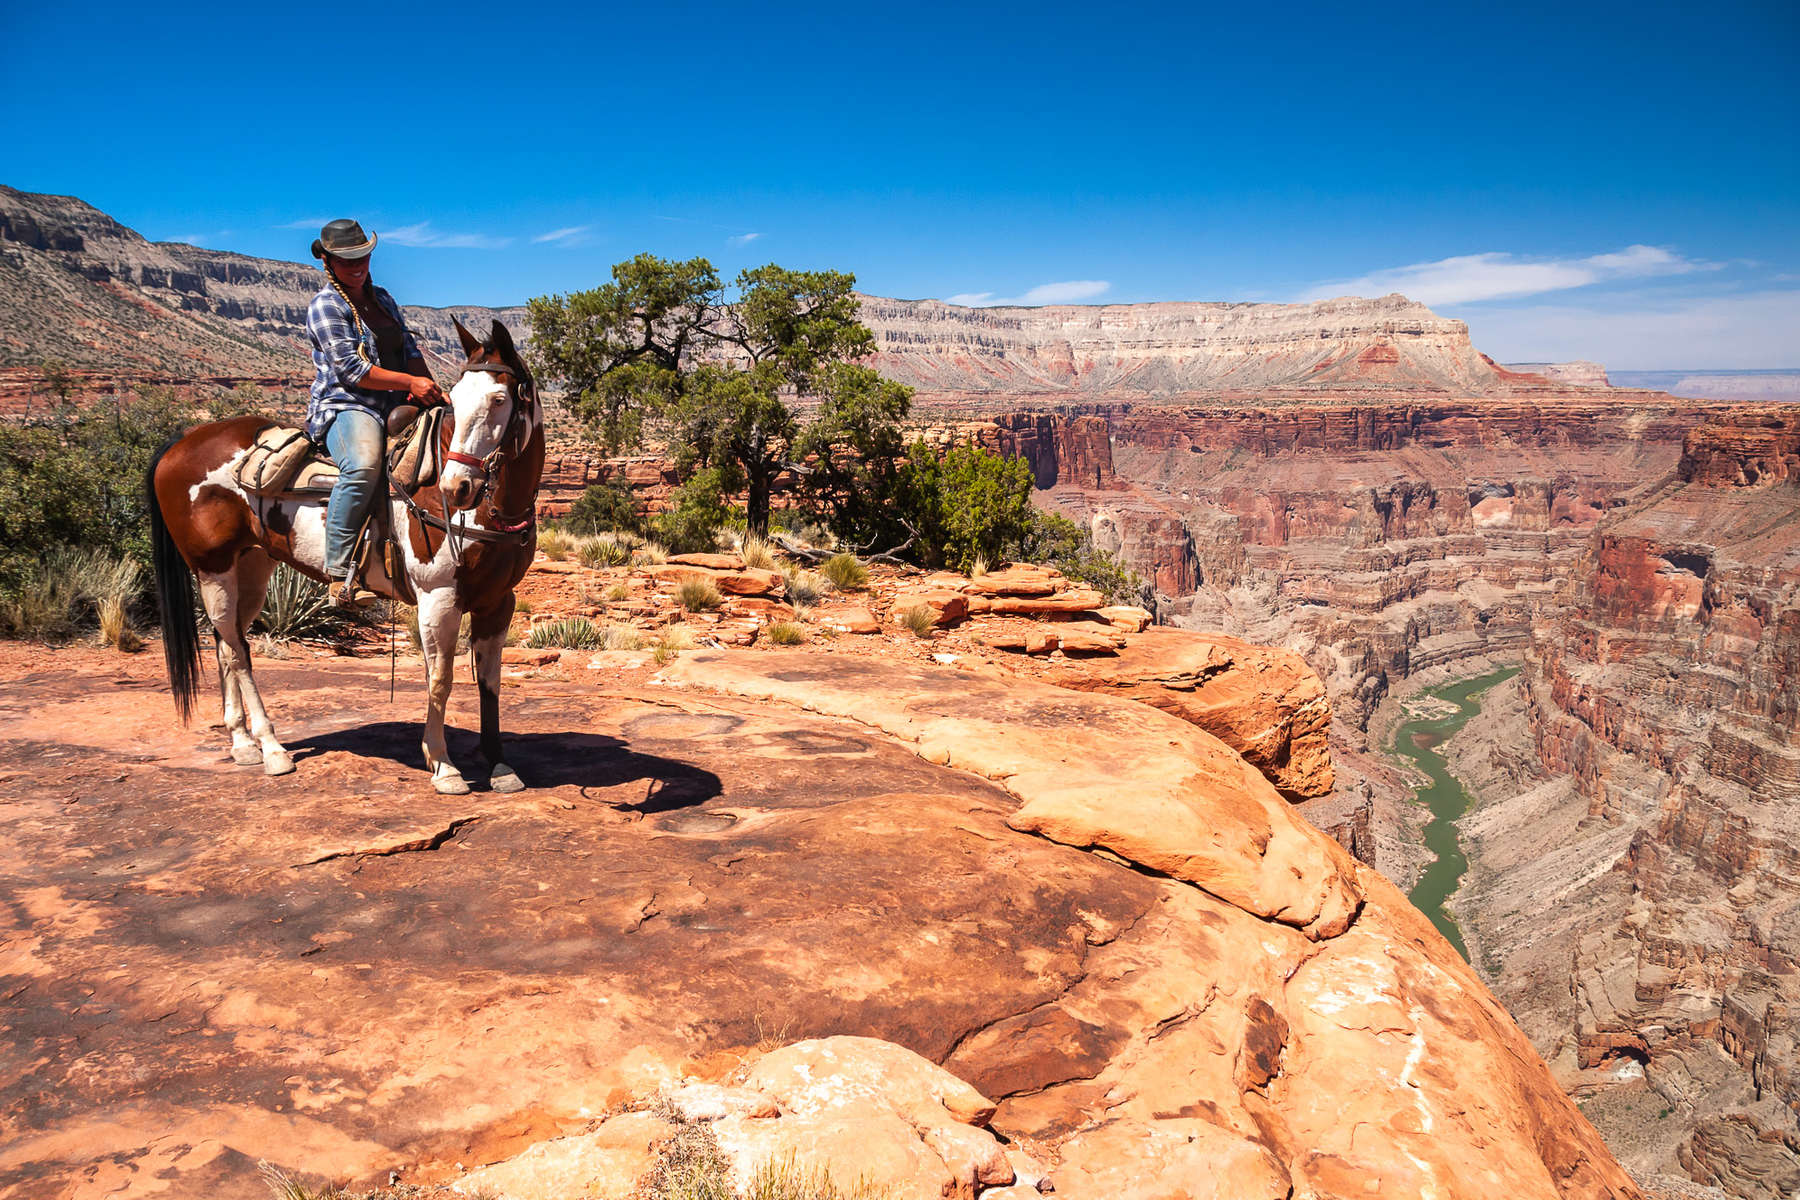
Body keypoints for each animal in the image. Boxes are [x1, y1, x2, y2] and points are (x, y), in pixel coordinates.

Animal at [149, 316, 540, 798]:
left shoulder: (498, 601)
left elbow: (489, 681)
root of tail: (181, 442)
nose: (457, 488)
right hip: (211, 568)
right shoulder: (438, 596)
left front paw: (499, 765)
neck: (489, 511)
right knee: (239, 651)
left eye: (499, 399)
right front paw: (443, 766)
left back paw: (242, 744)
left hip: (251, 568)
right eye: (453, 402)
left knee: (226, 644)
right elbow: (440, 679)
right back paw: (272, 750)